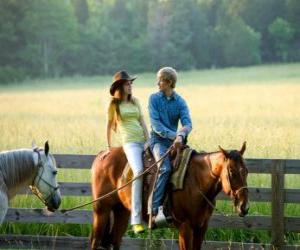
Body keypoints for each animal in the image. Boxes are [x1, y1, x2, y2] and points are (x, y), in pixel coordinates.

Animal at [91, 143, 248, 250]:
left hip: (121, 211)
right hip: (101, 210)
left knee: (115, 241)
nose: (244, 207)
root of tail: (103, 154)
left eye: (246, 171)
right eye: (232, 172)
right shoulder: (185, 227)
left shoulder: (201, 227)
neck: (196, 180)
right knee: (95, 241)